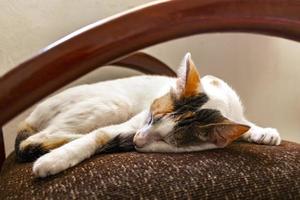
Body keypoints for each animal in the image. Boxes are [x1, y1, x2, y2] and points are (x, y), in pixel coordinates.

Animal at [14, 52, 282, 177]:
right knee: (34, 140)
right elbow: (98, 135)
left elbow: (243, 123)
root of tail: (32, 115)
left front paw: (262, 132)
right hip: (113, 104)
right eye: (152, 117)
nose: (137, 140)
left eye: (166, 141)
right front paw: (56, 160)